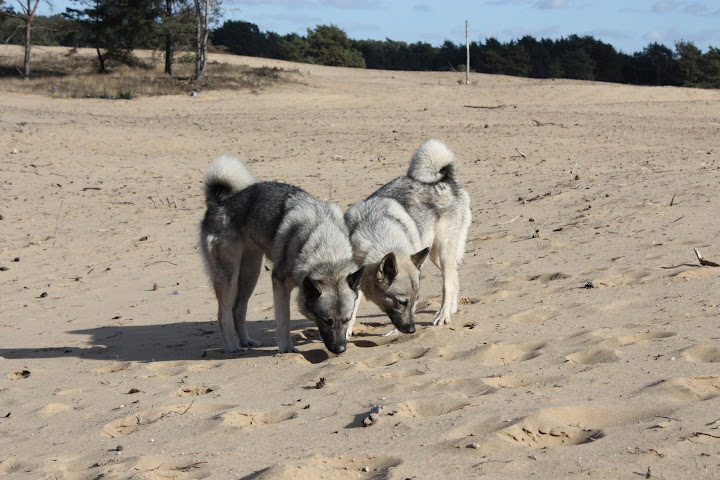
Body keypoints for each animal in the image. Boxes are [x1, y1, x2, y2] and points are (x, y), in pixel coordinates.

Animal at [200, 156, 362, 354]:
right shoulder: (279, 283)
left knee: (238, 310)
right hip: (228, 277)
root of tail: (219, 203)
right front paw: (286, 348)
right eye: (327, 321)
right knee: (224, 315)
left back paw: (246, 341)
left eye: (346, 319)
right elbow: (284, 320)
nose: (340, 349)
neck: (326, 248)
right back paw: (232, 347)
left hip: (250, 273)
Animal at [344, 138, 472, 334]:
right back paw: (450, 309)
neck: (375, 234)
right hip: (433, 254)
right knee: (454, 276)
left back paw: (443, 315)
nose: (412, 330)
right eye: (400, 302)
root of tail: (446, 178)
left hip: (443, 252)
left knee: (447, 284)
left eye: (415, 300)